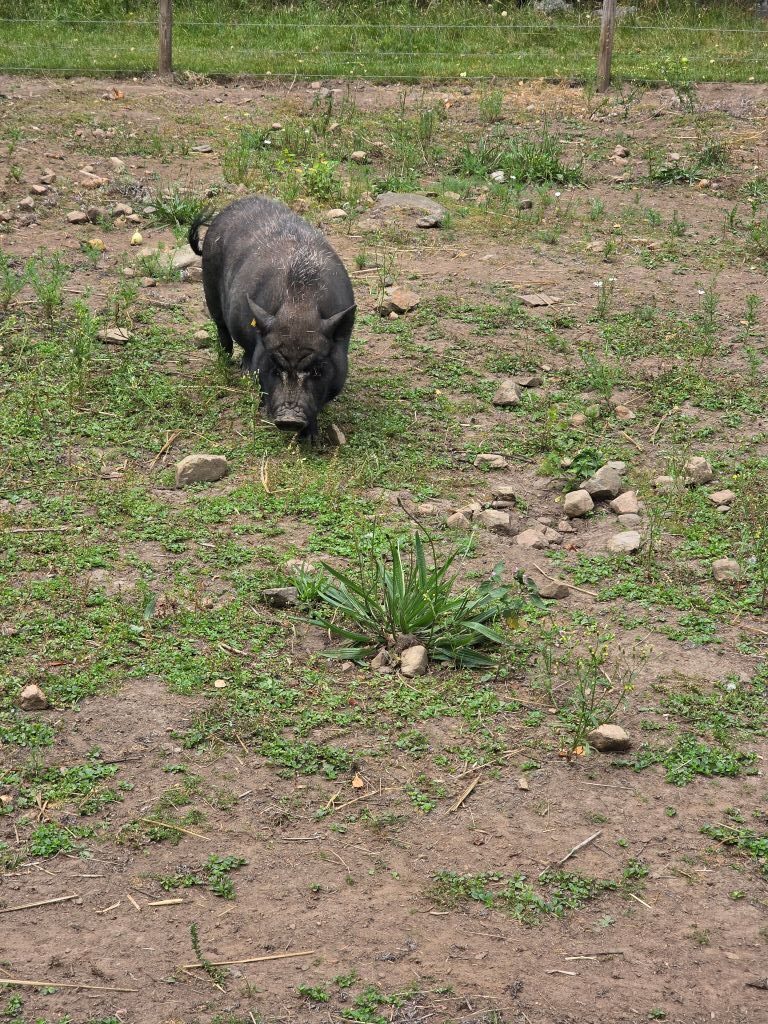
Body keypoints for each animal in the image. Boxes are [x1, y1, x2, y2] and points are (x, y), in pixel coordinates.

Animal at [189, 195, 356, 439]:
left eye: (317, 370)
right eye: (275, 368)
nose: (289, 419)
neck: (299, 308)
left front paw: (311, 438)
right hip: (209, 285)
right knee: (222, 329)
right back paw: (227, 362)